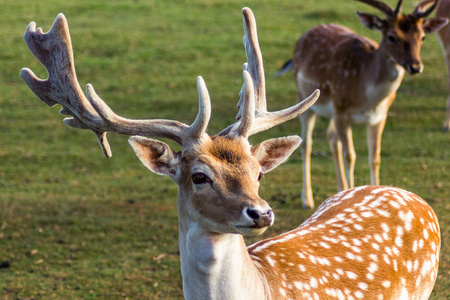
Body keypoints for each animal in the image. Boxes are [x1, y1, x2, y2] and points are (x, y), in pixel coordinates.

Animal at [278, 0, 446, 209]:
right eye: (391, 37)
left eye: (422, 37)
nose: (415, 66)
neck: (368, 97)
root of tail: (306, 33)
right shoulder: (342, 110)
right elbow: (350, 156)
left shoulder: (379, 117)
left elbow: (375, 158)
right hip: (305, 97)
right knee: (307, 144)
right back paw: (307, 199)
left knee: (331, 137)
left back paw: (339, 189)